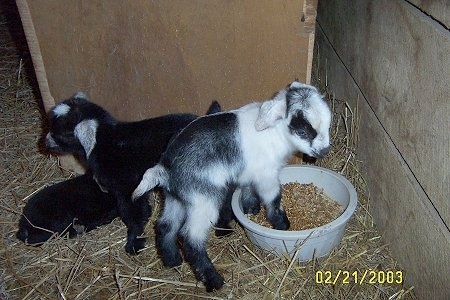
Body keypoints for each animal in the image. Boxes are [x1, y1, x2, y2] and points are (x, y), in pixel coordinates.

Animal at [45, 92, 221, 254]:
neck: (106, 141)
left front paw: (134, 243)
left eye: (62, 134)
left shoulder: (127, 186)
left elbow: (134, 214)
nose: (45, 142)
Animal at [132, 80, 332, 290]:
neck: (274, 132)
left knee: (165, 225)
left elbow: (248, 190)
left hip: (176, 198)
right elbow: (274, 200)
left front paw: (251, 209)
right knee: (190, 238)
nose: (324, 151)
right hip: (203, 200)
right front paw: (282, 225)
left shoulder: (249, 174)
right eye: (302, 131)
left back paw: (172, 261)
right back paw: (214, 280)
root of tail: (165, 168)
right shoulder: (267, 175)